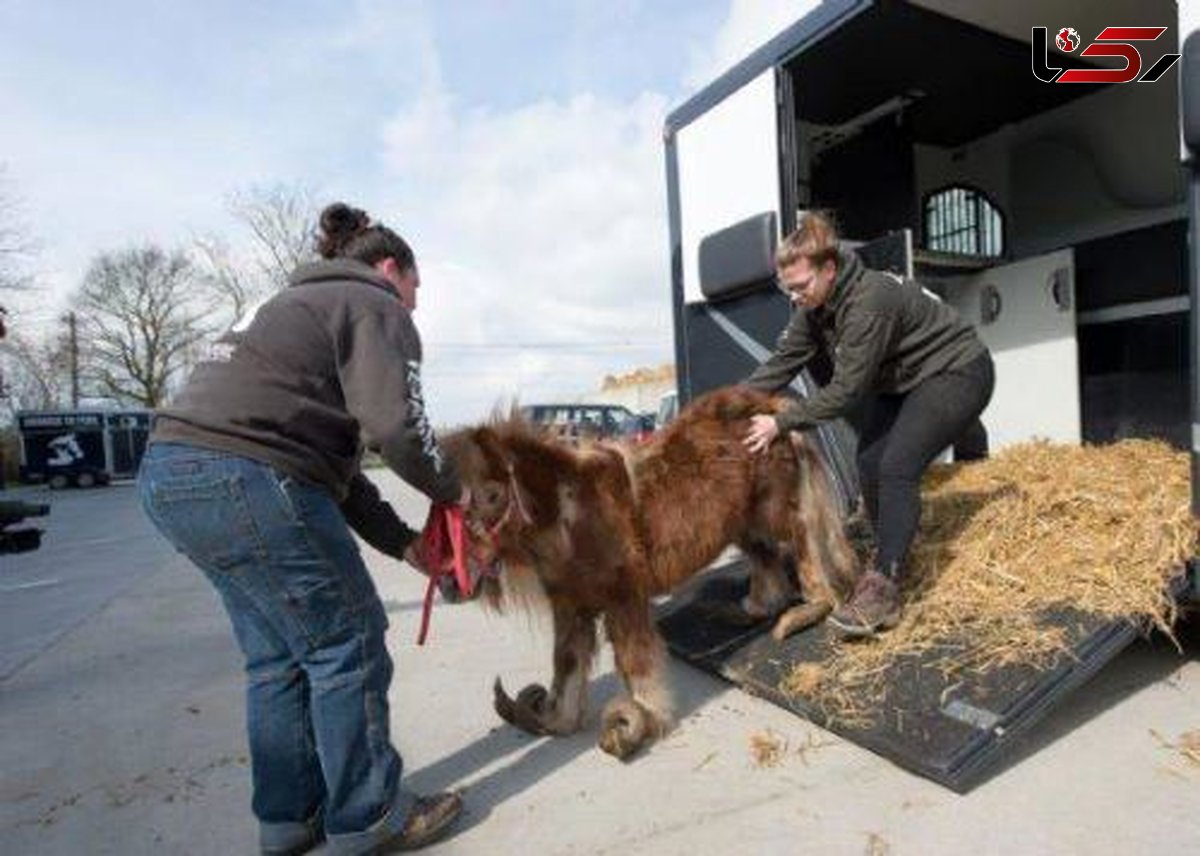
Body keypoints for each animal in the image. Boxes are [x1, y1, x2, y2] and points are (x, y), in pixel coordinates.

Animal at [439, 386, 854, 753]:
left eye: (492, 495)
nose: (448, 584)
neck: (570, 514)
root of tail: (768, 406)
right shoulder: (572, 608)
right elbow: (566, 665)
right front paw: (557, 720)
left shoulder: (624, 600)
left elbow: (635, 664)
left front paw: (634, 727)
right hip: (743, 522)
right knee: (767, 561)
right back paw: (751, 608)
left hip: (775, 510)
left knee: (805, 546)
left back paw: (806, 610)